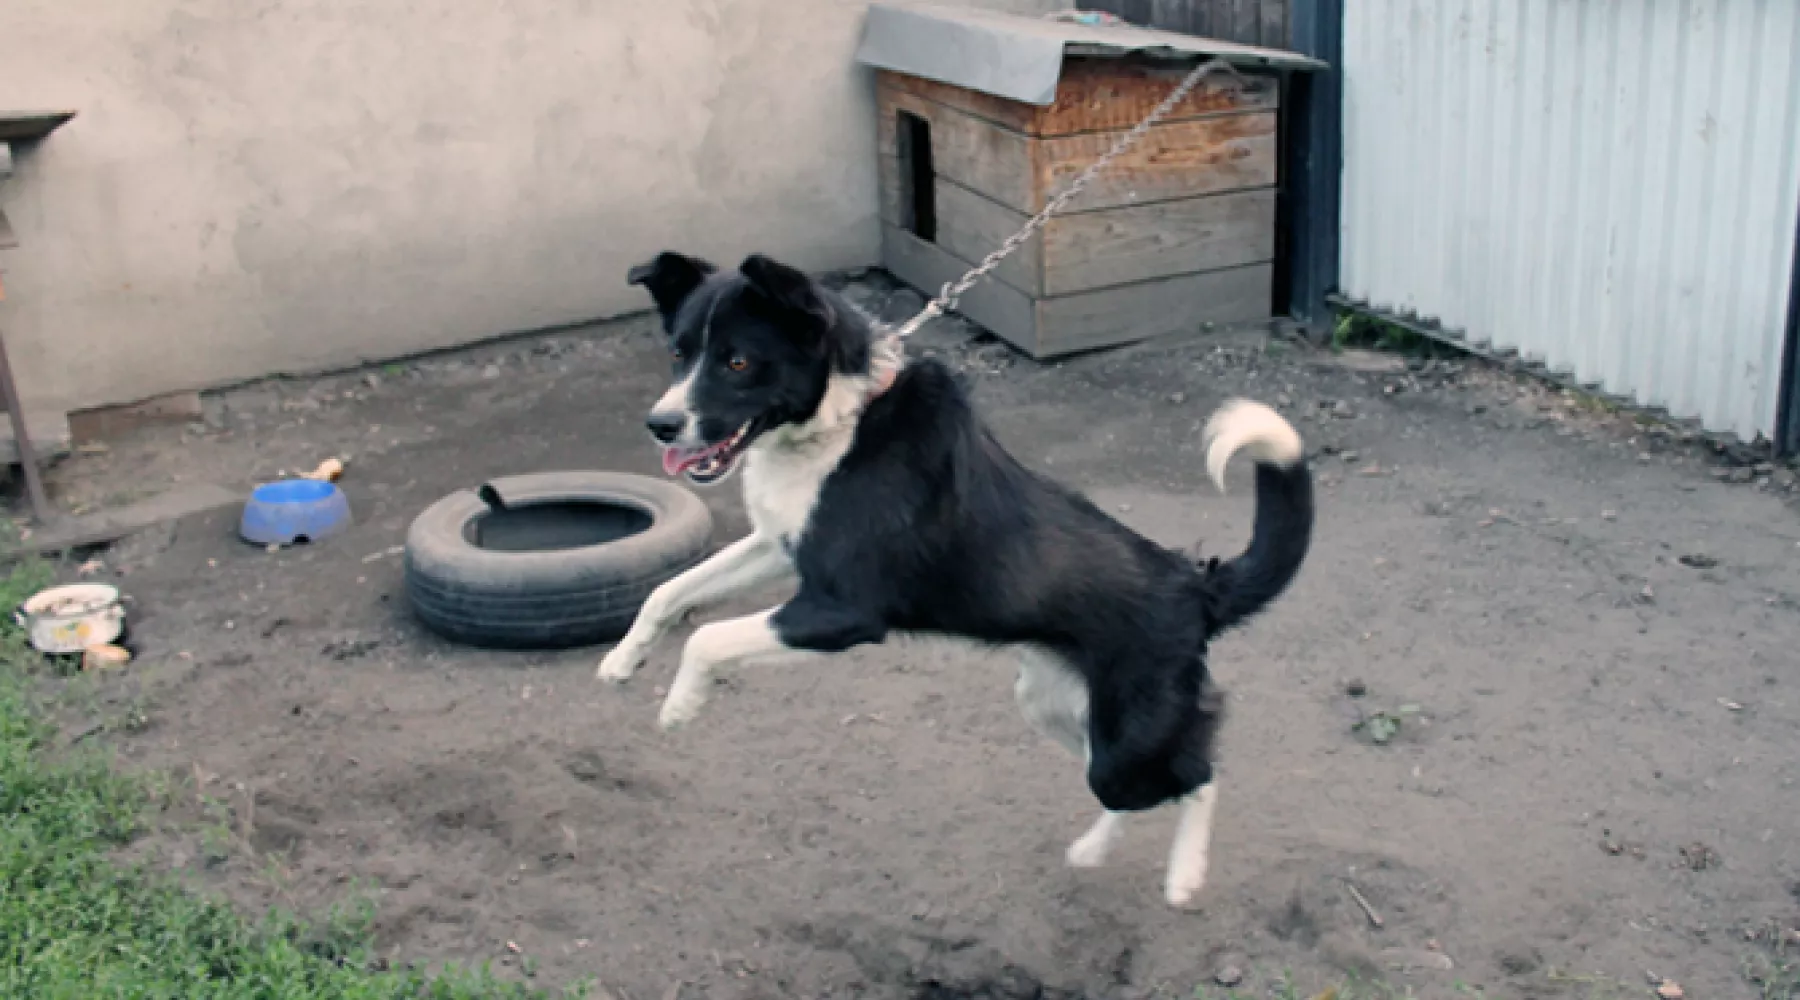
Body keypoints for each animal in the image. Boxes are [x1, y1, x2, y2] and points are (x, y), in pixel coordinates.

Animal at [597, 250, 1317, 906]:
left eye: (738, 362)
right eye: (678, 354)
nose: (660, 424)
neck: (840, 421)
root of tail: (1196, 588)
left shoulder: (838, 612)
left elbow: (706, 638)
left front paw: (680, 704)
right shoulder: (779, 550)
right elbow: (669, 592)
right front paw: (622, 660)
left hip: (1129, 739)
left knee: (1198, 773)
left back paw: (1184, 875)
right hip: (1058, 708)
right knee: (1137, 784)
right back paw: (1092, 850)